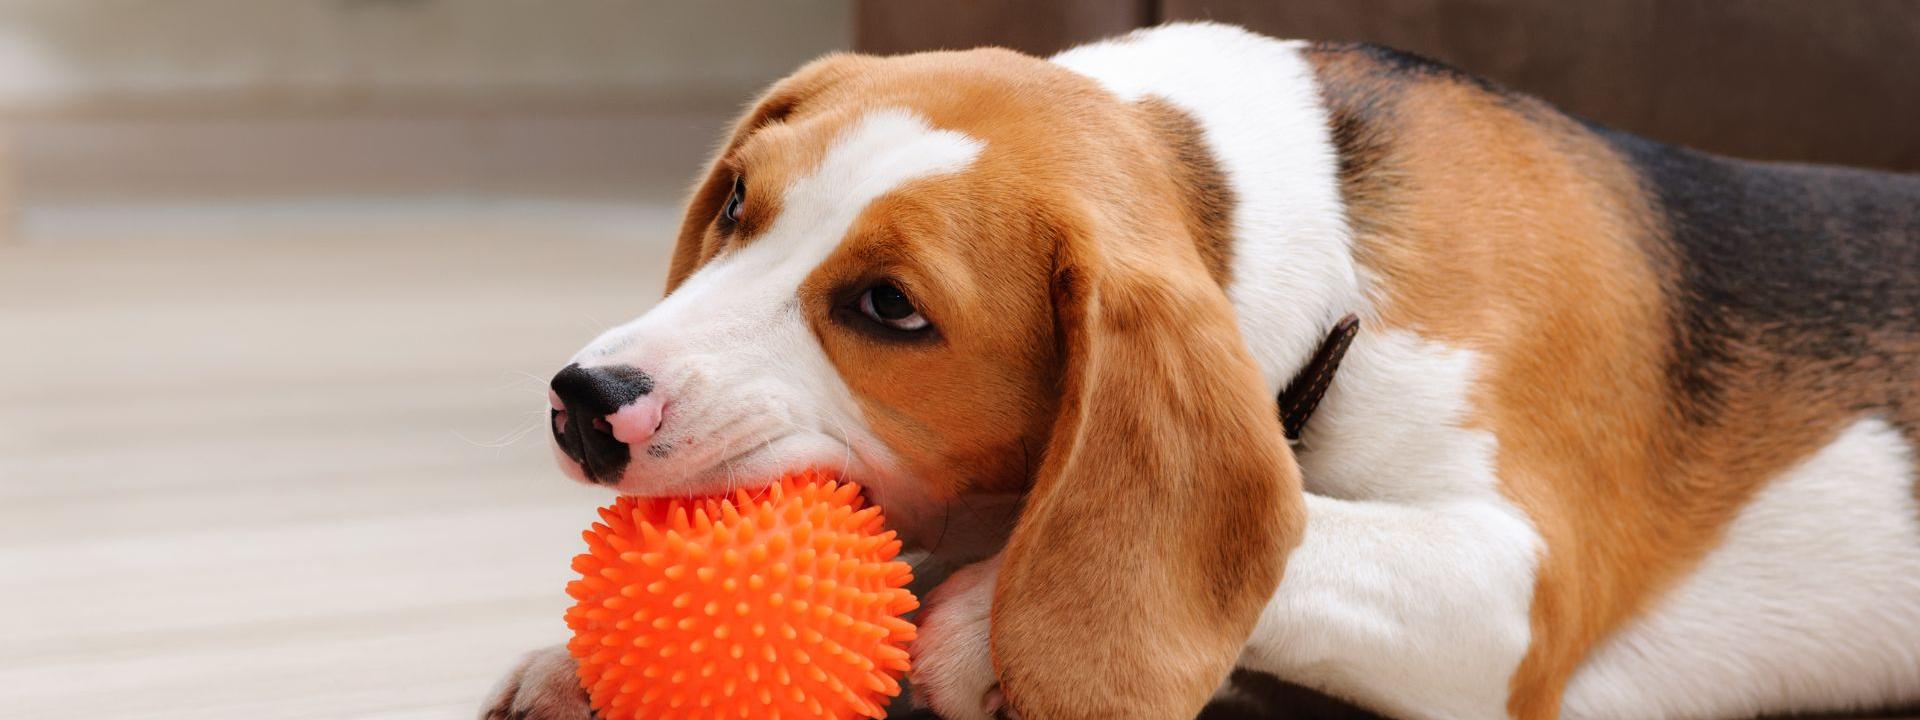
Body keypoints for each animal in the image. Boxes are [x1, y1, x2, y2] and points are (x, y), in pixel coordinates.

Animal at [483, 22, 1920, 720]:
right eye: (737, 201)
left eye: (889, 308)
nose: (586, 403)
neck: (1333, 249)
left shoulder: (1518, 597)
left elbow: (1306, 532)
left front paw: (986, 631)